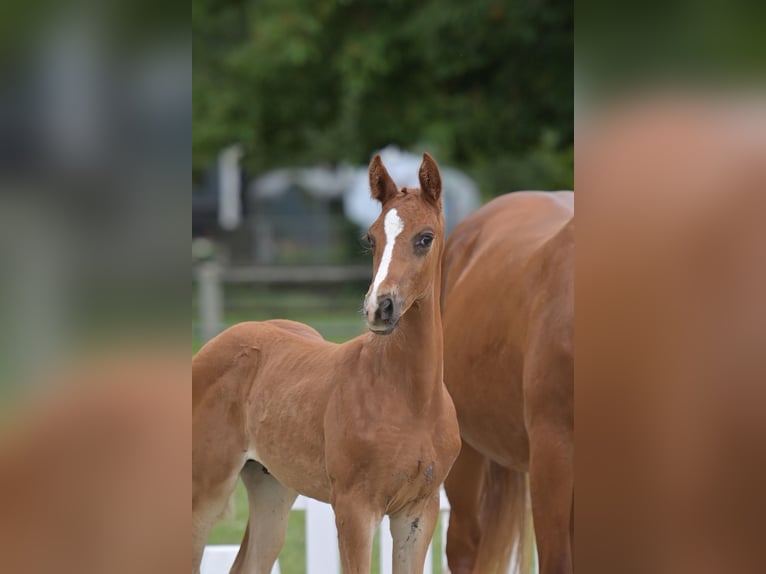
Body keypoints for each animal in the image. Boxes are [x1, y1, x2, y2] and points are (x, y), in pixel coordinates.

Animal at [192, 153, 461, 574]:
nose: (379, 308)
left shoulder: (419, 511)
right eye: (371, 238)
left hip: (272, 488)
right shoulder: (354, 508)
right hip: (204, 492)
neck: (412, 398)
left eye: (425, 237)